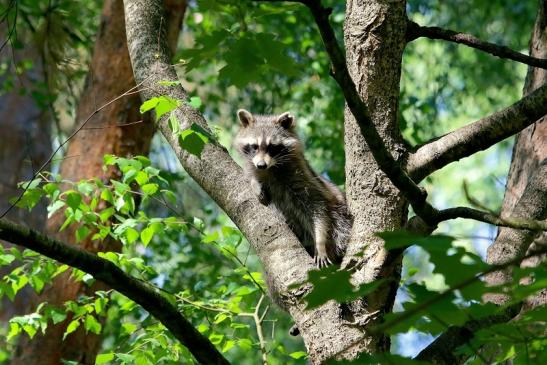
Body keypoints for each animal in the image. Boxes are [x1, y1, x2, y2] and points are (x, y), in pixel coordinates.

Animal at [235, 109, 352, 268]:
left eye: (272, 147)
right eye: (254, 146)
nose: (261, 165)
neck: (272, 168)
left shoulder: (304, 178)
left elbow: (318, 209)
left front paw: (320, 243)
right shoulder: (254, 167)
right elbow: (251, 178)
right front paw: (255, 185)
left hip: (341, 217)